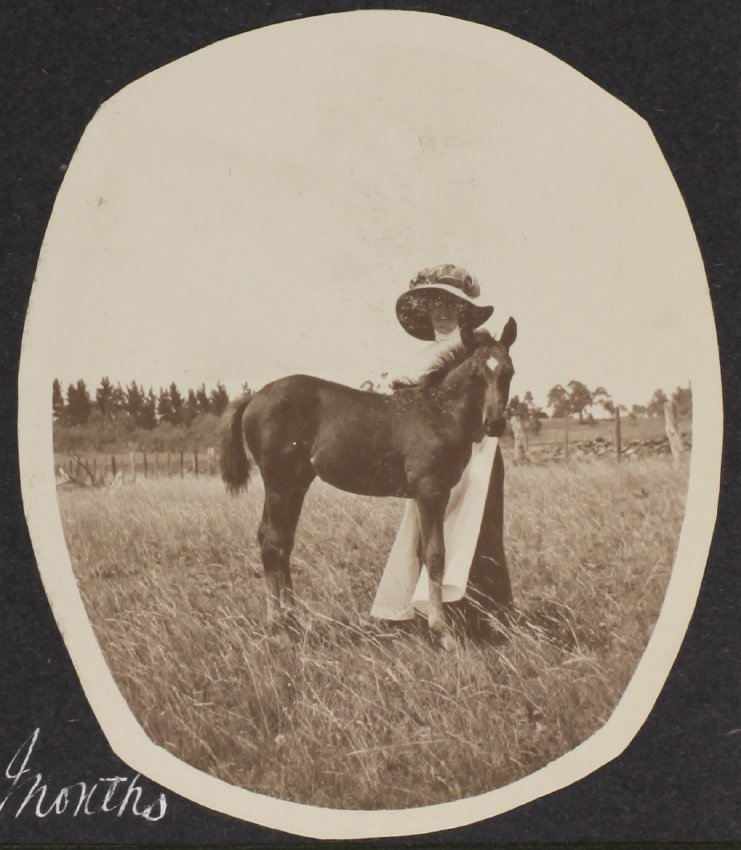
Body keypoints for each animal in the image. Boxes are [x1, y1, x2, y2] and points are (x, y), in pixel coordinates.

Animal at [220, 318, 517, 649]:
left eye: (509, 372)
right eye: (477, 374)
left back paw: (294, 621)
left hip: (295, 485)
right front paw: (442, 631)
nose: (495, 424)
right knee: (272, 542)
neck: (438, 414)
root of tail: (254, 397)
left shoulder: (426, 495)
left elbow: (422, 553)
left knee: (282, 542)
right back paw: (278, 628)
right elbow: (435, 555)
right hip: (278, 484)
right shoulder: (431, 491)